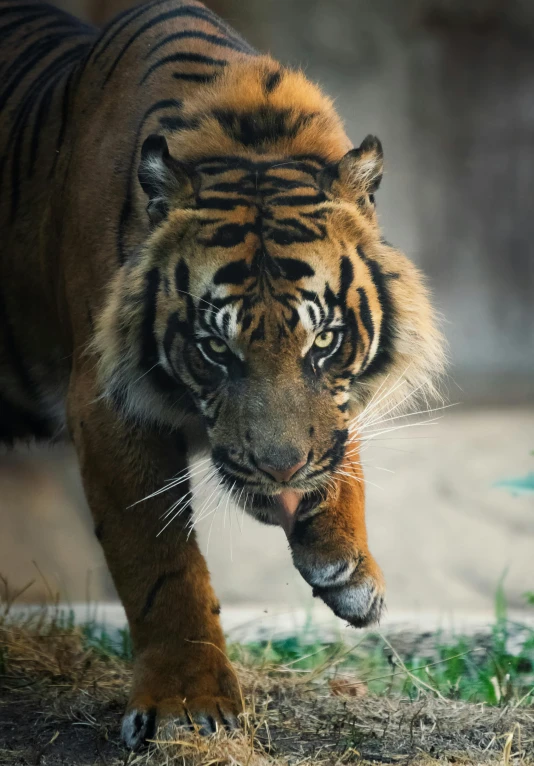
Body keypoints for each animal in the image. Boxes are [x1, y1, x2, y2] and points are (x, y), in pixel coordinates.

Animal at [0, 0, 444, 752]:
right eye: (214, 349)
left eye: (323, 341)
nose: (282, 472)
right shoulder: (106, 402)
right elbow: (160, 564)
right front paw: (186, 706)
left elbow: (339, 435)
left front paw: (346, 562)